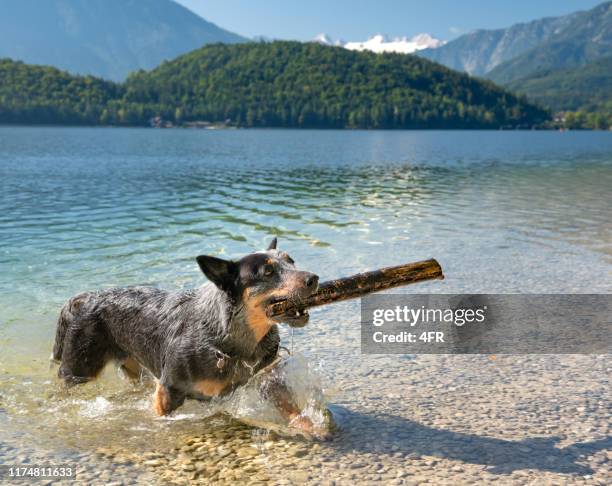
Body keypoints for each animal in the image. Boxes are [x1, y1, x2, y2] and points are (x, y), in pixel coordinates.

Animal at [52, 239, 320, 432]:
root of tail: (85, 297)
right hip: (78, 368)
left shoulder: (267, 377)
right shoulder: (168, 390)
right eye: (268, 271)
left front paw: (312, 428)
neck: (229, 338)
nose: (313, 278)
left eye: (292, 261)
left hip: (133, 366)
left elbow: (291, 408)